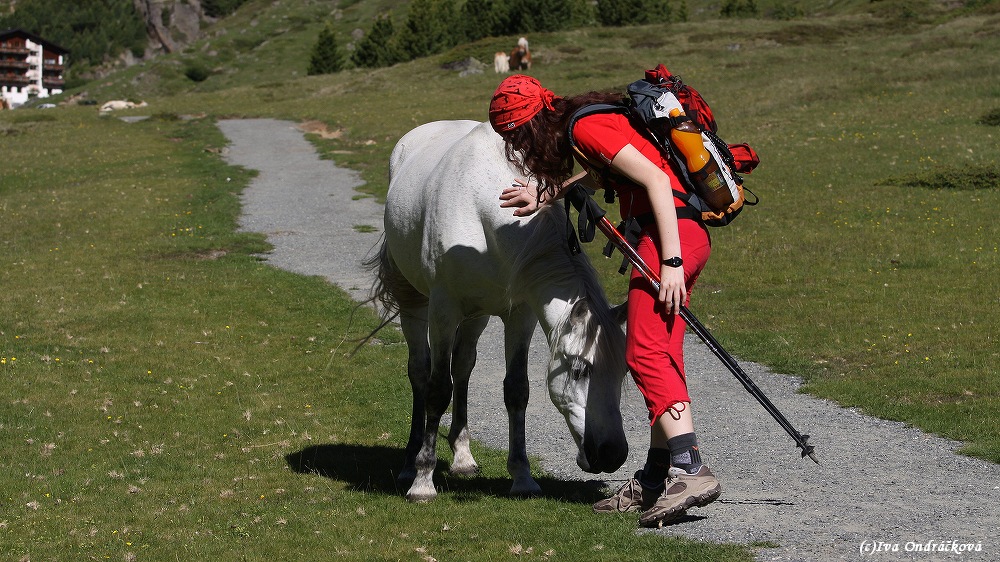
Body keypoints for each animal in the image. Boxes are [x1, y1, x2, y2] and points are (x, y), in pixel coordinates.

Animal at [372, 118, 628, 498]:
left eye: (624, 373)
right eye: (581, 370)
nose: (613, 454)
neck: (482, 207)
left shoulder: (520, 313)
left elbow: (516, 389)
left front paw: (522, 477)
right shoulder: (444, 310)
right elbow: (437, 389)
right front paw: (423, 480)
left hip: (476, 314)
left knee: (463, 366)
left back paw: (463, 457)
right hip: (416, 303)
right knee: (420, 371)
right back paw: (409, 463)